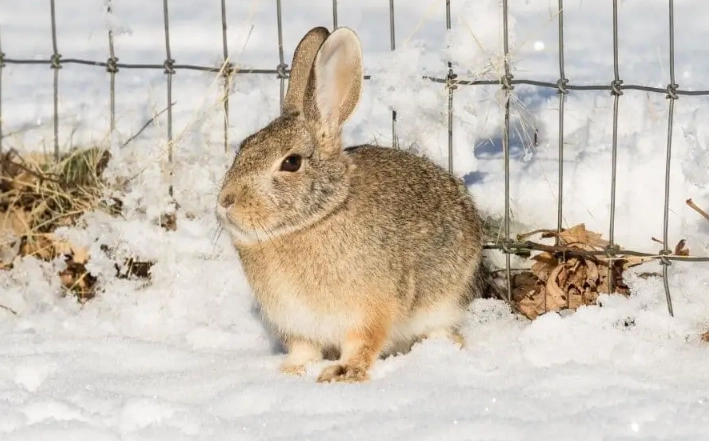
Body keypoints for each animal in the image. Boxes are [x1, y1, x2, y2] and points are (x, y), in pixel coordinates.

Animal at [216, 26, 485, 383]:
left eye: (291, 163)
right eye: (243, 148)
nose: (225, 201)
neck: (316, 217)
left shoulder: (370, 311)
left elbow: (363, 343)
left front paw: (343, 373)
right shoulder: (296, 324)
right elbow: (304, 349)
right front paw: (292, 371)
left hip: (443, 301)